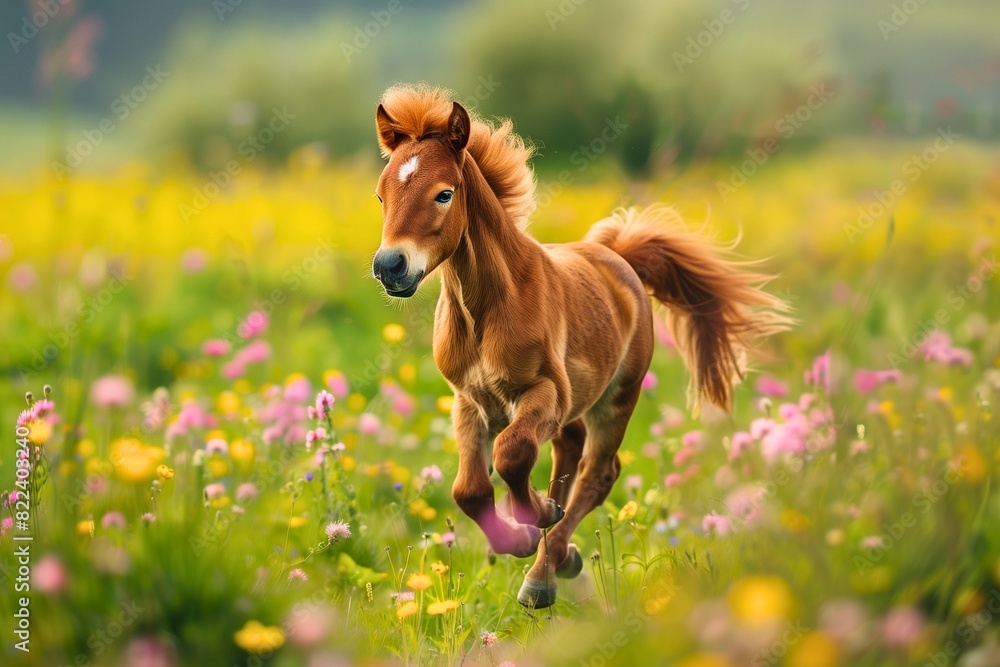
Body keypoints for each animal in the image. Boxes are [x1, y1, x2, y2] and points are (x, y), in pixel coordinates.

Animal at [370, 85, 791, 609]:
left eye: (444, 194)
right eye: (381, 194)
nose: (390, 266)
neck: (487, 309)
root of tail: (616, 255)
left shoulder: (544, 392)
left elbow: (511, 454)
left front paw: (533, 521)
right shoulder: (469, 401)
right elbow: (470, 489)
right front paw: (519, 535)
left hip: (616, 397)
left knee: (598, 472)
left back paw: (541, 577)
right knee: (567, 455)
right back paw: (559, 555)